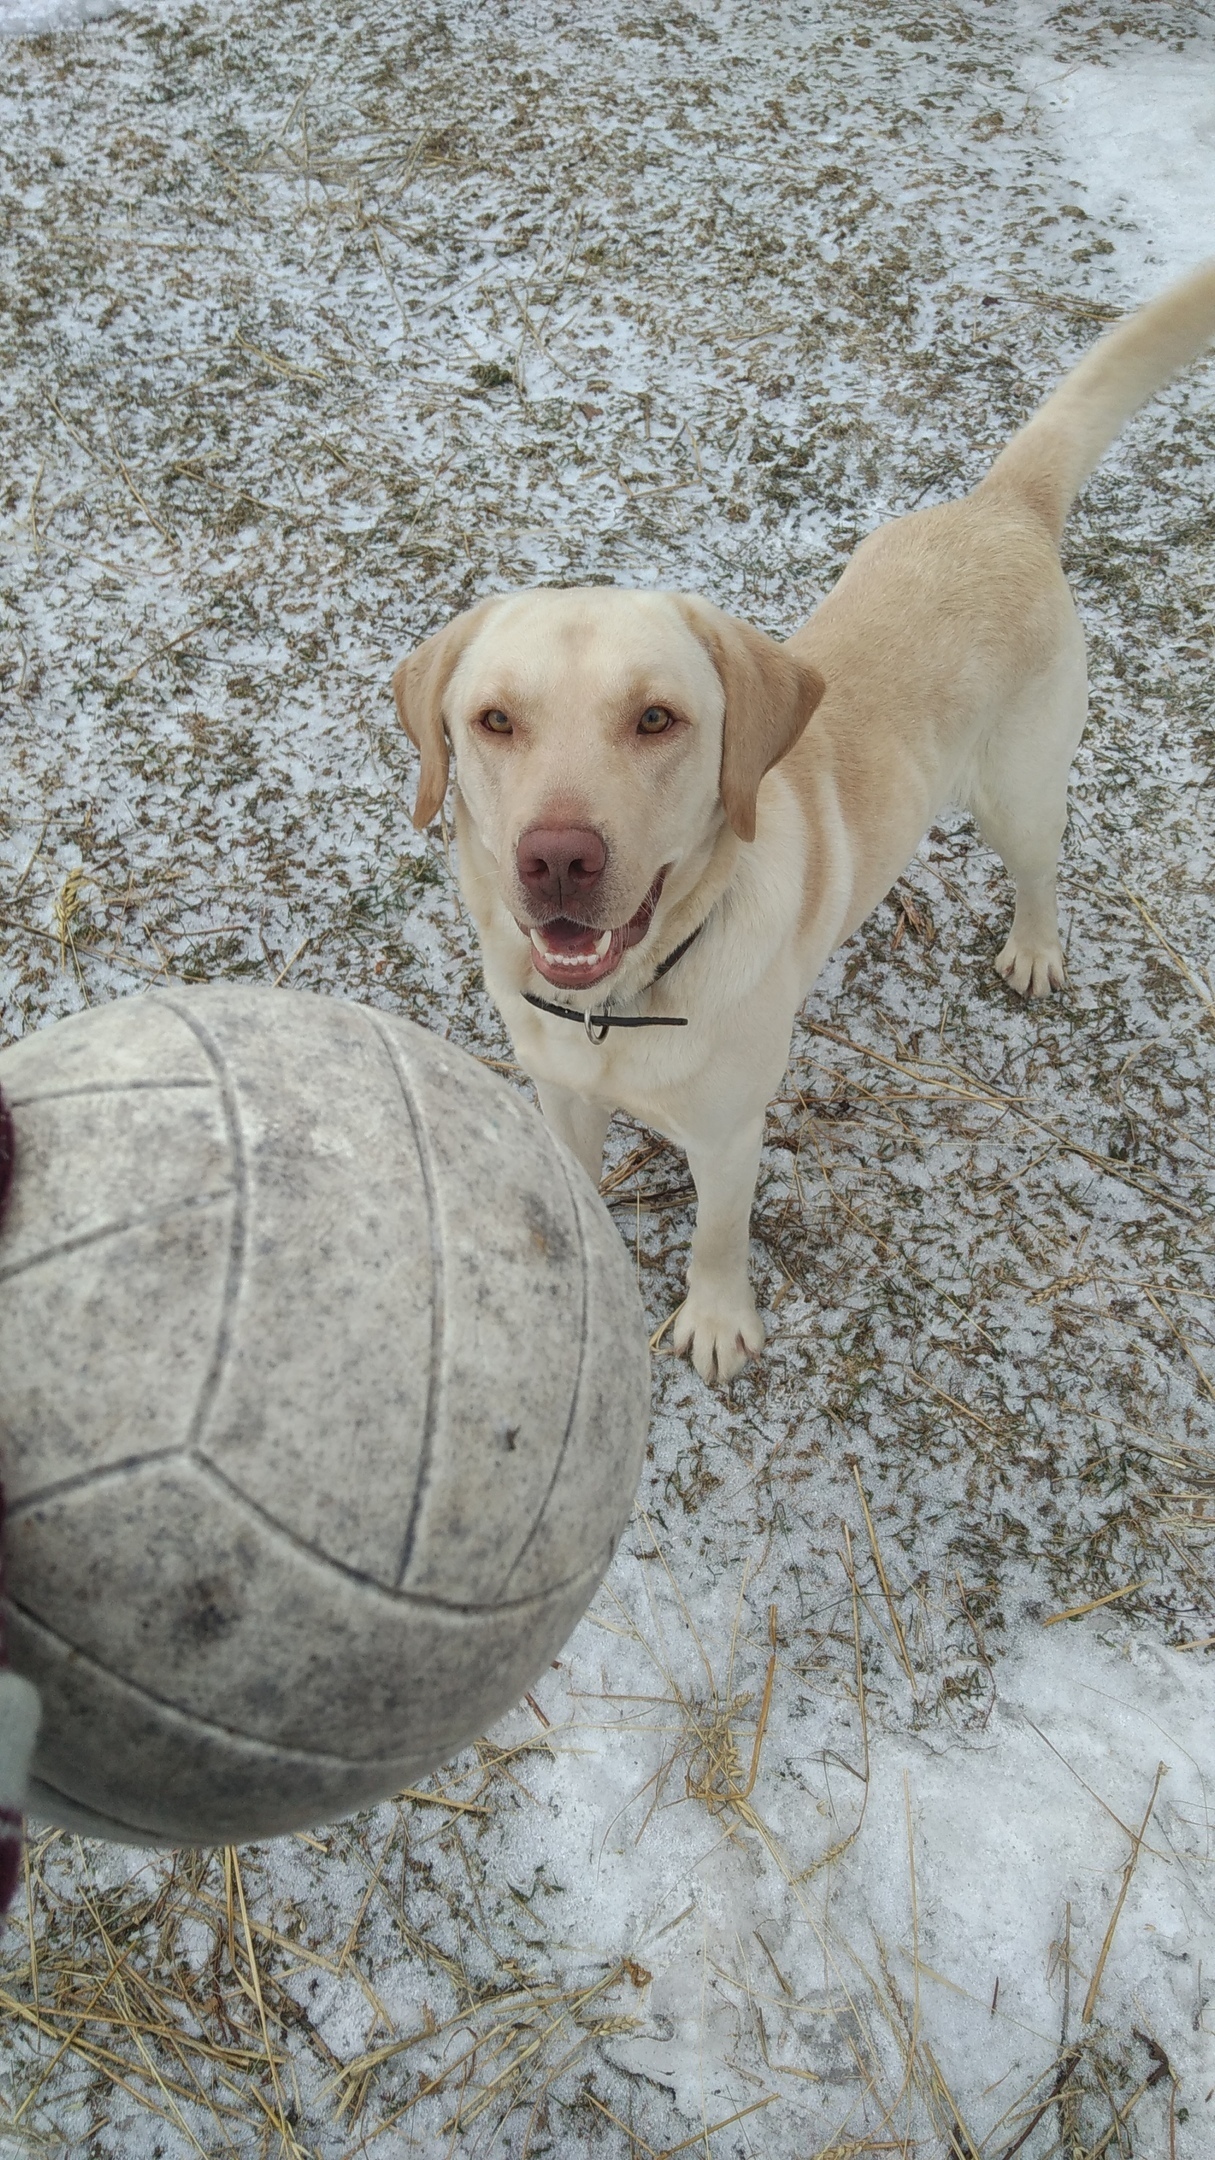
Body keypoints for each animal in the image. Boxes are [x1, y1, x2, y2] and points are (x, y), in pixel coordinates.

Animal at [393, 265, 1202, 1382]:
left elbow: (717, 1233)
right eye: (495, 720)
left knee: (1040, 868)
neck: (625, 1004)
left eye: (657, 719)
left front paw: (715, 1320)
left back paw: (1035, 948)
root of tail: (1001, 506)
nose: (556, 858)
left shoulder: (731, 1134)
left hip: (1022, 790)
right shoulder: (560, 1095)